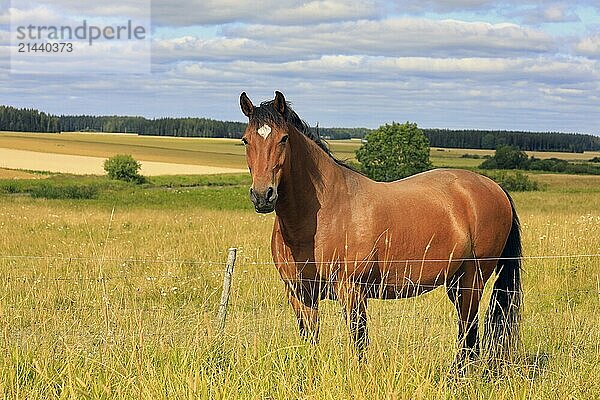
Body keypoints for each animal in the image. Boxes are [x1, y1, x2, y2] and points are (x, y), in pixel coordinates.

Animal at [238, 90, 520, 366]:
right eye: (245, 140)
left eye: (284, 138)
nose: (263, 195)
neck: (324, 214)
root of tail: (495, 188)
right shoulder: (300, 294)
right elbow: (310, 341)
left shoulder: (352, 291)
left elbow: (359, 342)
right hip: (456, 282)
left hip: (473, 280)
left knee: (468, 331)